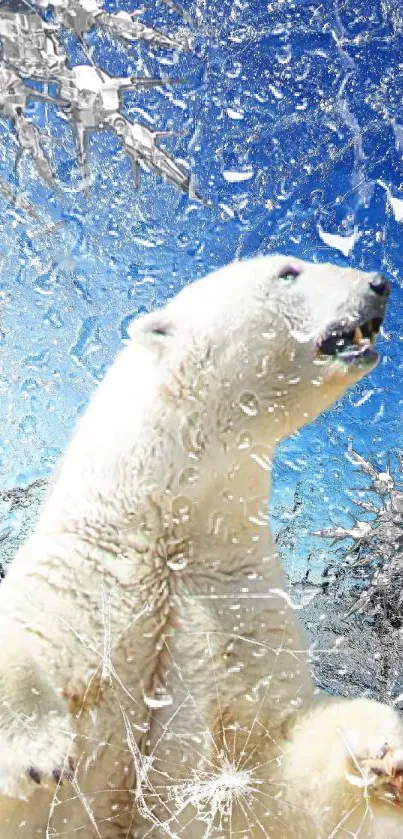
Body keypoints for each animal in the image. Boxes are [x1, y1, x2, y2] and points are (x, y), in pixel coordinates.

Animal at [0, 253, 400, 836]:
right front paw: (41, 753)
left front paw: (387, 755)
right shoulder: (86, 575)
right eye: (288, 271)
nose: (379, 283)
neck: (165, 528)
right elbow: (27, 638)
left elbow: (277, 762)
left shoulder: (232, 595)